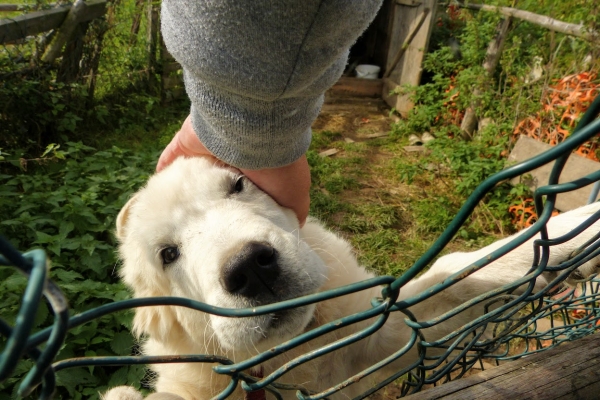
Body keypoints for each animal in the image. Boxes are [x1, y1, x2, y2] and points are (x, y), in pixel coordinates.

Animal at [104, 156, 600, 400]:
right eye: (168, 254)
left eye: (238, 185)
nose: (248, 268)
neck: (290, 355)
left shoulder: (382, 334)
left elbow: (455, 271)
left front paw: (577, 225)